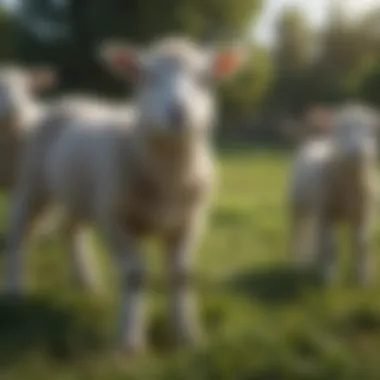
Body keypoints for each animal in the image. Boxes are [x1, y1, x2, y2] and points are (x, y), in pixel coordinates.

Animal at [2, 35, 245, 350]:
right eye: (147, 78)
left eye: (205, 79)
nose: (179, 113)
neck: (168, 177)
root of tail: (74, 98)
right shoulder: (117, 220)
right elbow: (134, 277)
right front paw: (129, 338)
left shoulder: (188, 223)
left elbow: (181, 277)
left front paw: (187, 335)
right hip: (33, 184)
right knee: (19, 234)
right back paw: (14, 290)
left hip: (82, 195)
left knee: (69, 230)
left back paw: (86, 282)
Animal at [290, 102, 378, 284]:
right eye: (340, 129)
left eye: (370, 129)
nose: (358, 151)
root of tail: (316, 140)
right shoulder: (326, 213)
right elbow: (331, 246)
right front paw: (329, 276)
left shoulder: (364, 214)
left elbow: (361, 243)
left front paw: (362, 277)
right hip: (297, 205)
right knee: (299, 232)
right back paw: (299, 261)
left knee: (319, 236)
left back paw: (315, 262)